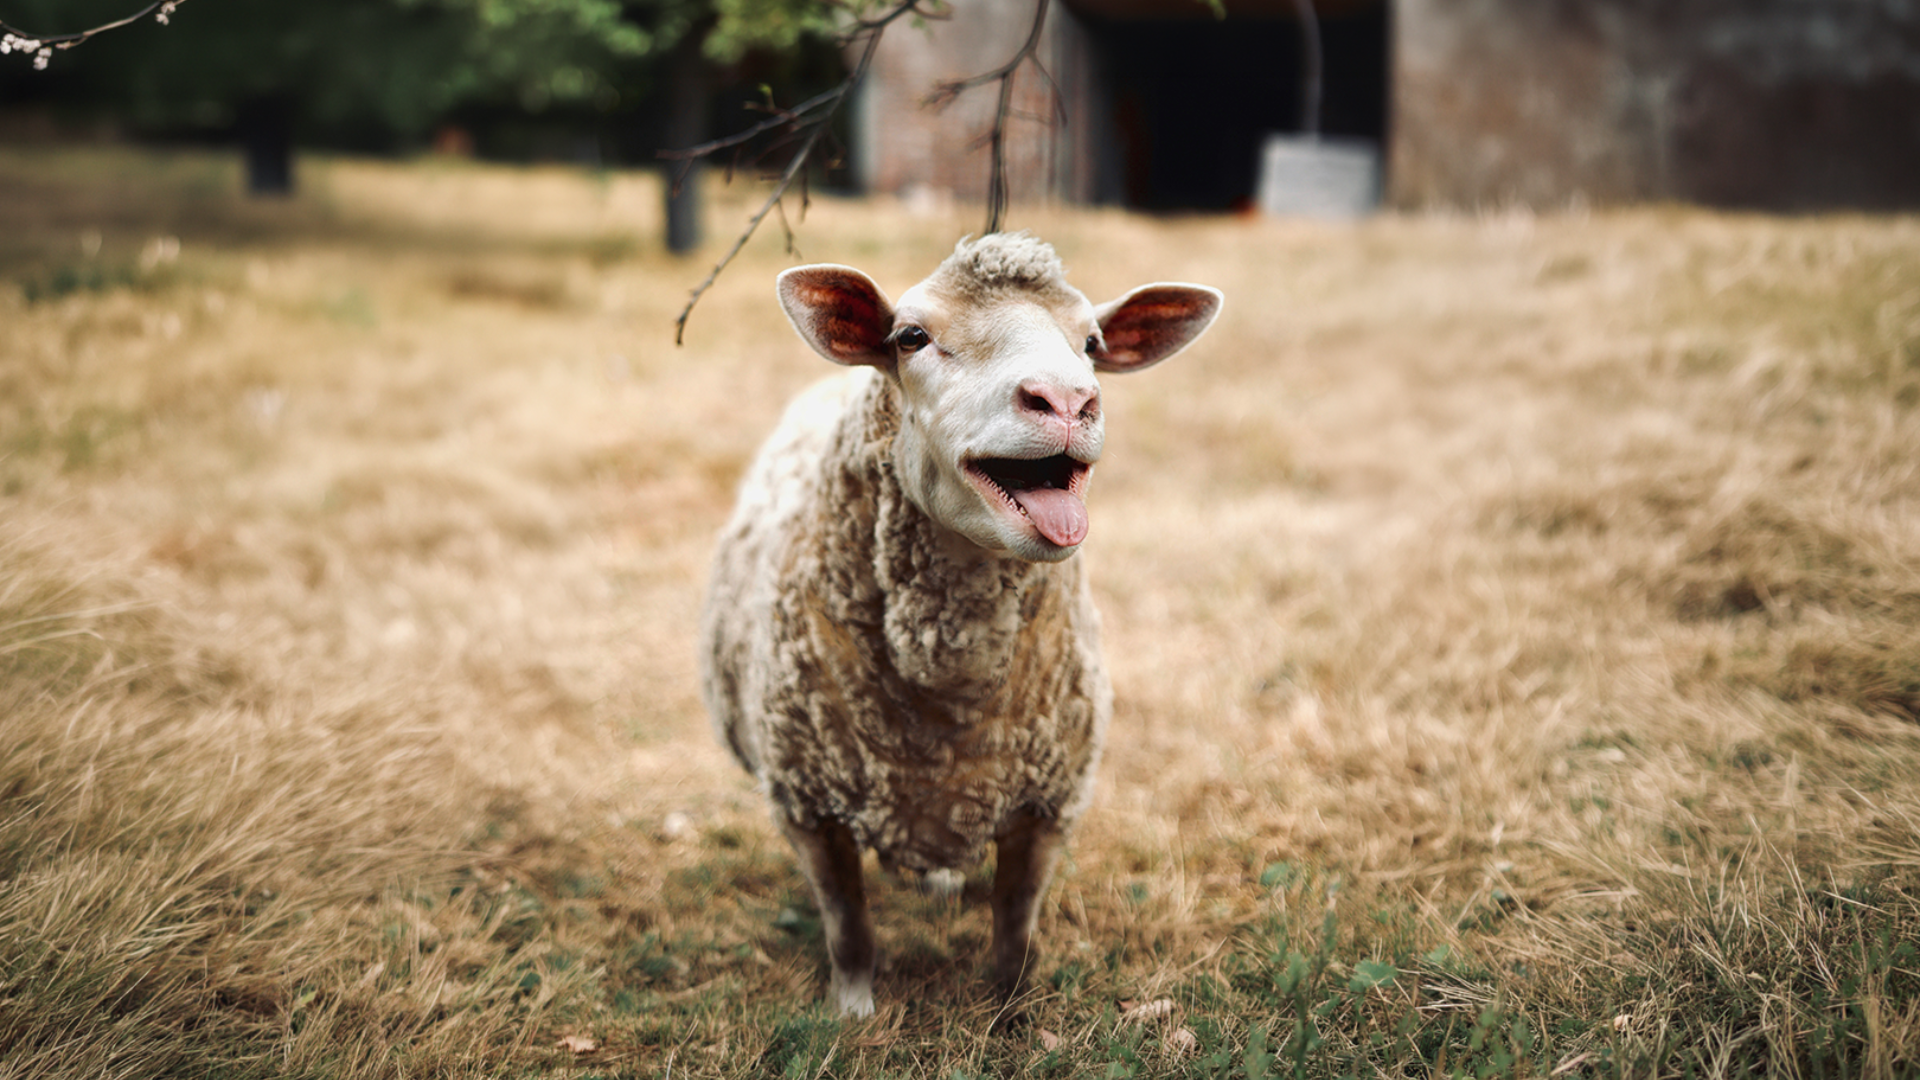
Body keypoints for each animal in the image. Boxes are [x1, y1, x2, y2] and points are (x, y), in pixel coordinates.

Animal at [700, 233, 1222, 1017]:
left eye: (1092, 344)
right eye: (912, 337)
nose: (1068, 400)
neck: (948, 686)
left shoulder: (1047, 803)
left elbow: (1015, 926)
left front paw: (1007, 1010)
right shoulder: (807, 804)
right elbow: (847, 926)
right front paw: (853, 1012)